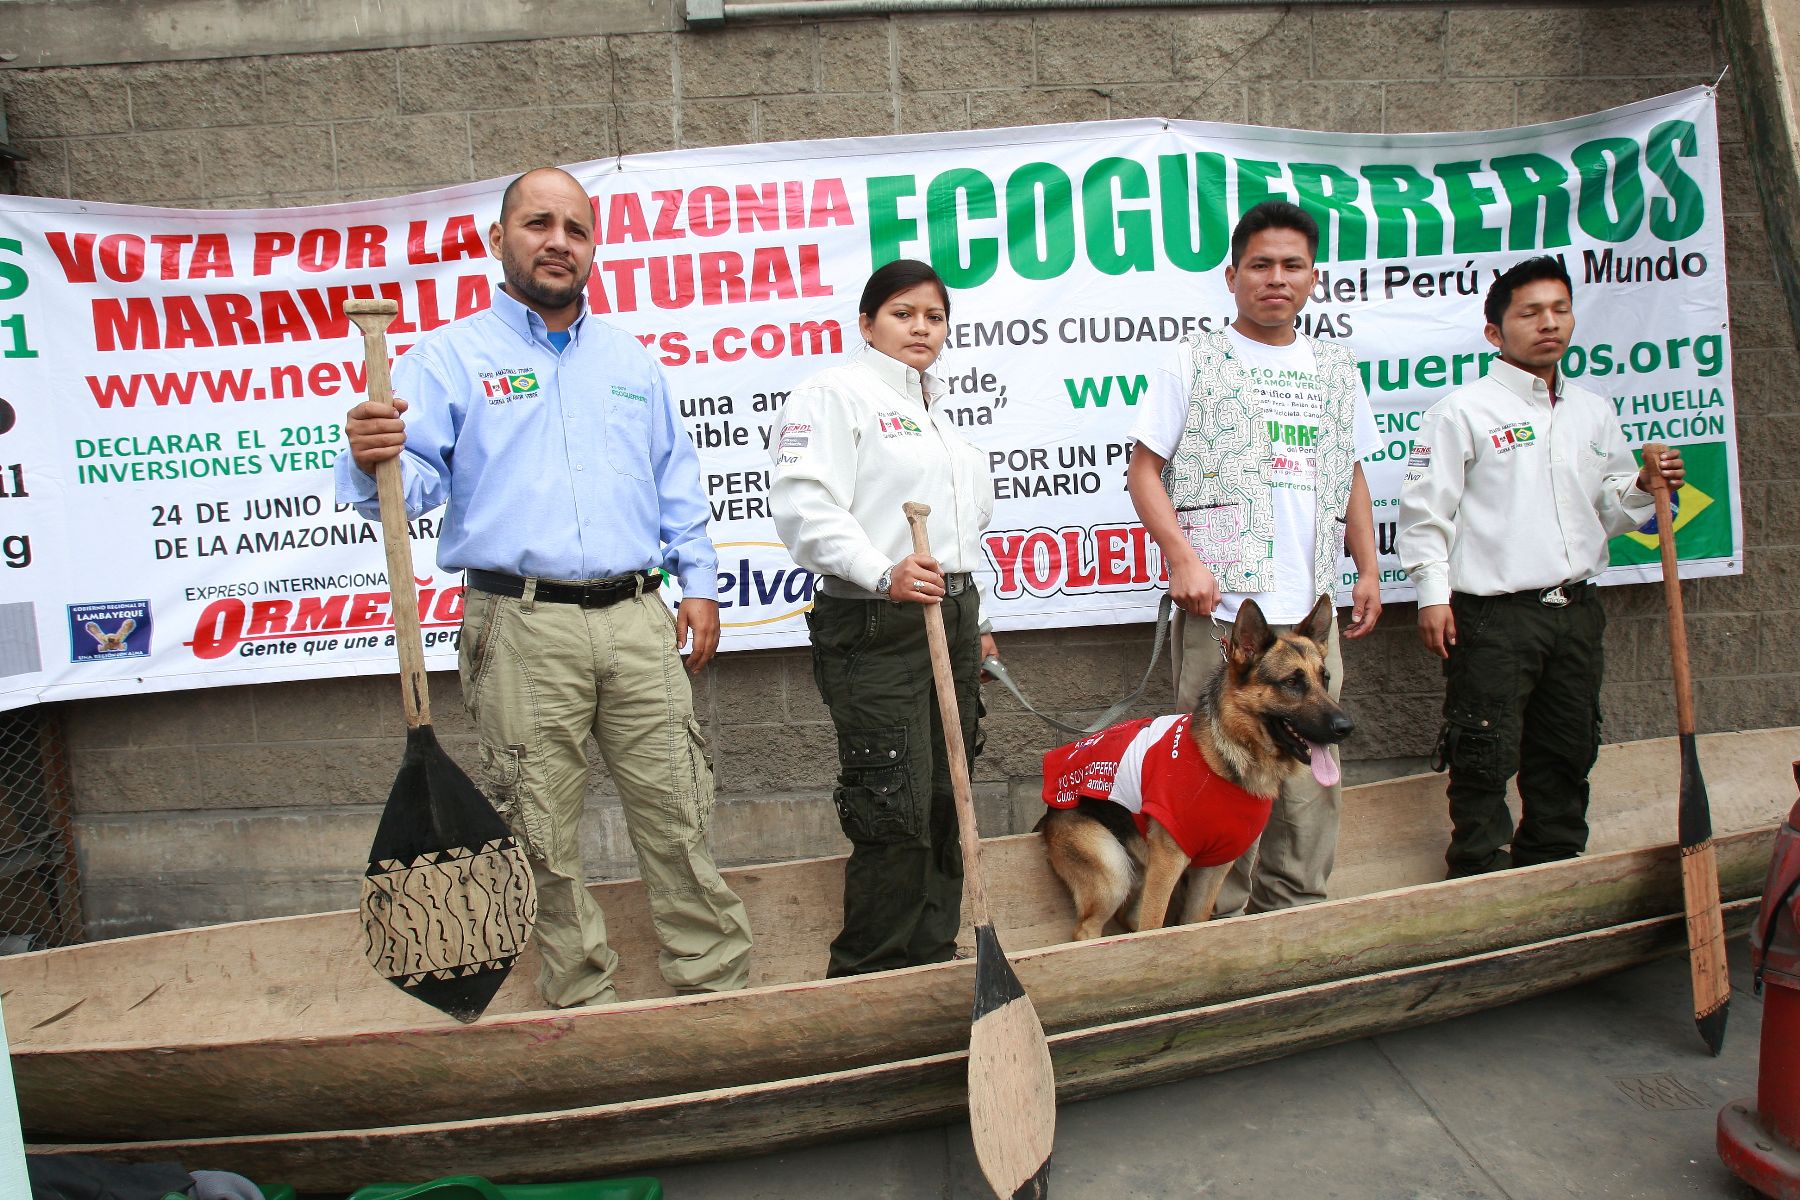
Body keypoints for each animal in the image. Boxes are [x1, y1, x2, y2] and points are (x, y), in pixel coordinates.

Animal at [1044, 597, 1353, 942]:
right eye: (1291, 682)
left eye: (1325, 679)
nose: (1346, 727)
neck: (1223, 760)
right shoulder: (1168, 862)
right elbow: (1153, 927)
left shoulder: (1215, 867)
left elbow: (1194, 924)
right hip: (1114, 872)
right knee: (1089, 930)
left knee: (1129, 918)